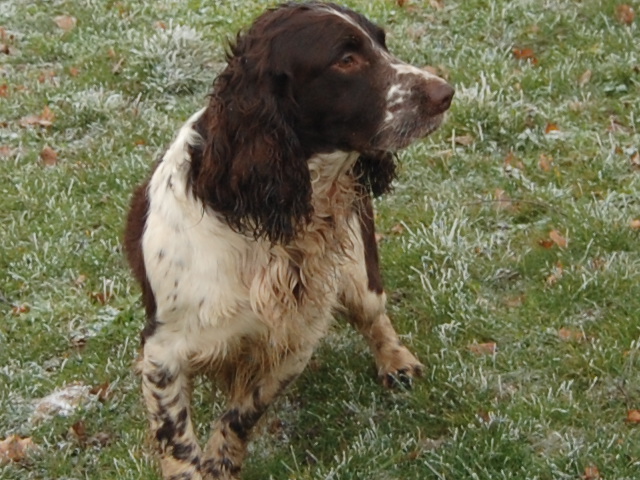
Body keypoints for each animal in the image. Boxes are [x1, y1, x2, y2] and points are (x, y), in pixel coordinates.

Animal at [125, 1, 452, 478]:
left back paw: (396, 361)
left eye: (383, 43)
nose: (446, 93)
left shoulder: (294, 338)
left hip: (358, 271)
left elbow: (241, 414)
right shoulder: (163, 352)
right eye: (346, 59)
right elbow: (178, 443)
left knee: (373, 314)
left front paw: (223, 461)